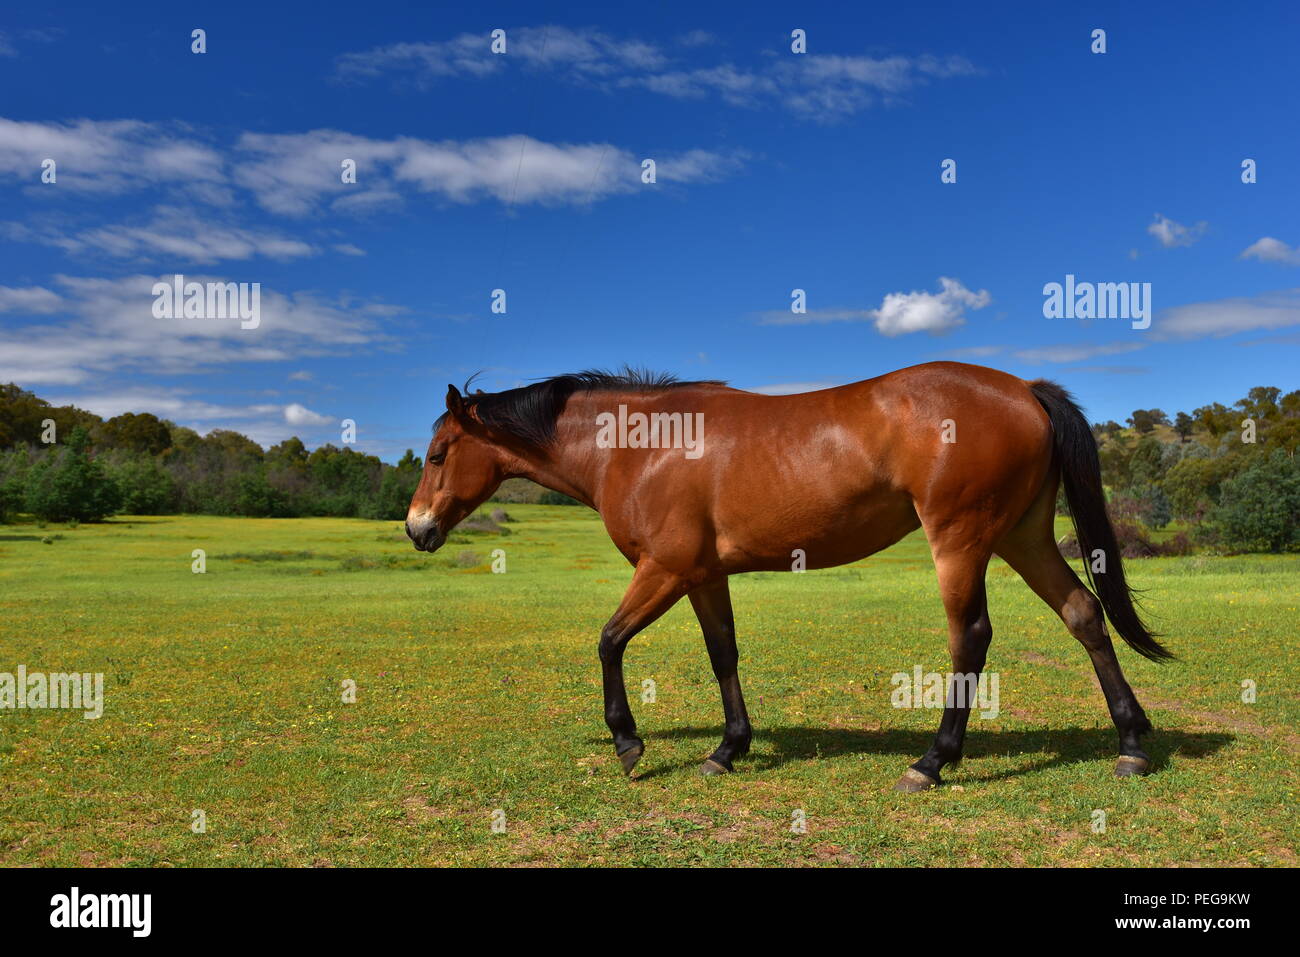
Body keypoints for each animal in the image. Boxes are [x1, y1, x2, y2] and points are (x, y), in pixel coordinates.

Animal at [405, 361, 1171, 791]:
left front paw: (628, 743)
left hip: (961, 540)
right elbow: (722, 653)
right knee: (1083, 614)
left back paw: (932, 761)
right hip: (1022, 536)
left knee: (971, 637)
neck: (642, 446)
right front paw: (727, 748)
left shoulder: (665, 568)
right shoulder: (703, 573)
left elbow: (609, 640)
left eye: (439, 453)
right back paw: (1132, 744)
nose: (417, 528)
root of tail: (1025, 391)